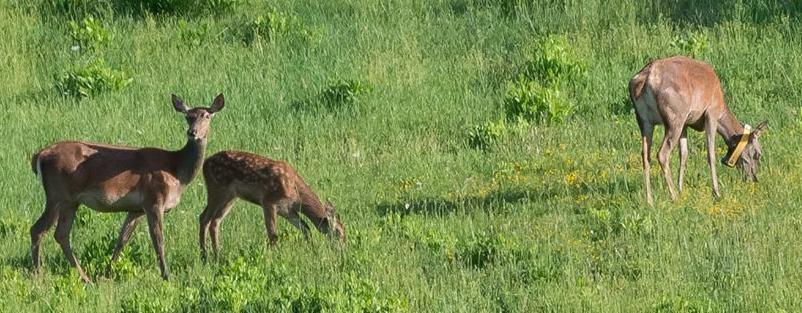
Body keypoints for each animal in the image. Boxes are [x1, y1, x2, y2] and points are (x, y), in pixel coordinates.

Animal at [30, 92, 225, 280]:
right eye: (187, 116)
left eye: (206, 115)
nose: (192, 132)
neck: (177, 171)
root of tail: (39, 155)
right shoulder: (153, 200)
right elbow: (158, 241)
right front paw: (167, 276)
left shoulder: (136, 209)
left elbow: (122, 240)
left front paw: (107, 273)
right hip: (58, 194)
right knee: (39, 230)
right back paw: (39, 274)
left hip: (70, 201)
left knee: (60, 234)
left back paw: (84, 278)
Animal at [199, 150, 344, 260]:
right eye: (339, 232)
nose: (343, 249)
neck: (296, 193)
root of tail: (205, 164)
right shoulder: (269, 201)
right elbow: (273, 235)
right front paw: (275, 259)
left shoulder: (287, 210)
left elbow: (306, 228)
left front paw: (312, 250)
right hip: (218, 190)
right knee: (207, 219)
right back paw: (211, 255)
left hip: (230, 197)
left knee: (210, 219)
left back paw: (209, 255)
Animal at [628, 55, 764, 205]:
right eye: (757, 154)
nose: (754, 178)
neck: (722, 108)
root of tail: (646, 77)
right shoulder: (711, 113)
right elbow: (711, 154)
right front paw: (716, 193)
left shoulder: (686, 124)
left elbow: (684, 154)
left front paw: (681, 189)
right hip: (675, 118)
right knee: (662, 154)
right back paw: (673, 197)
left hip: (645, 121)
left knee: (645, 155)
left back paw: (650, 200)